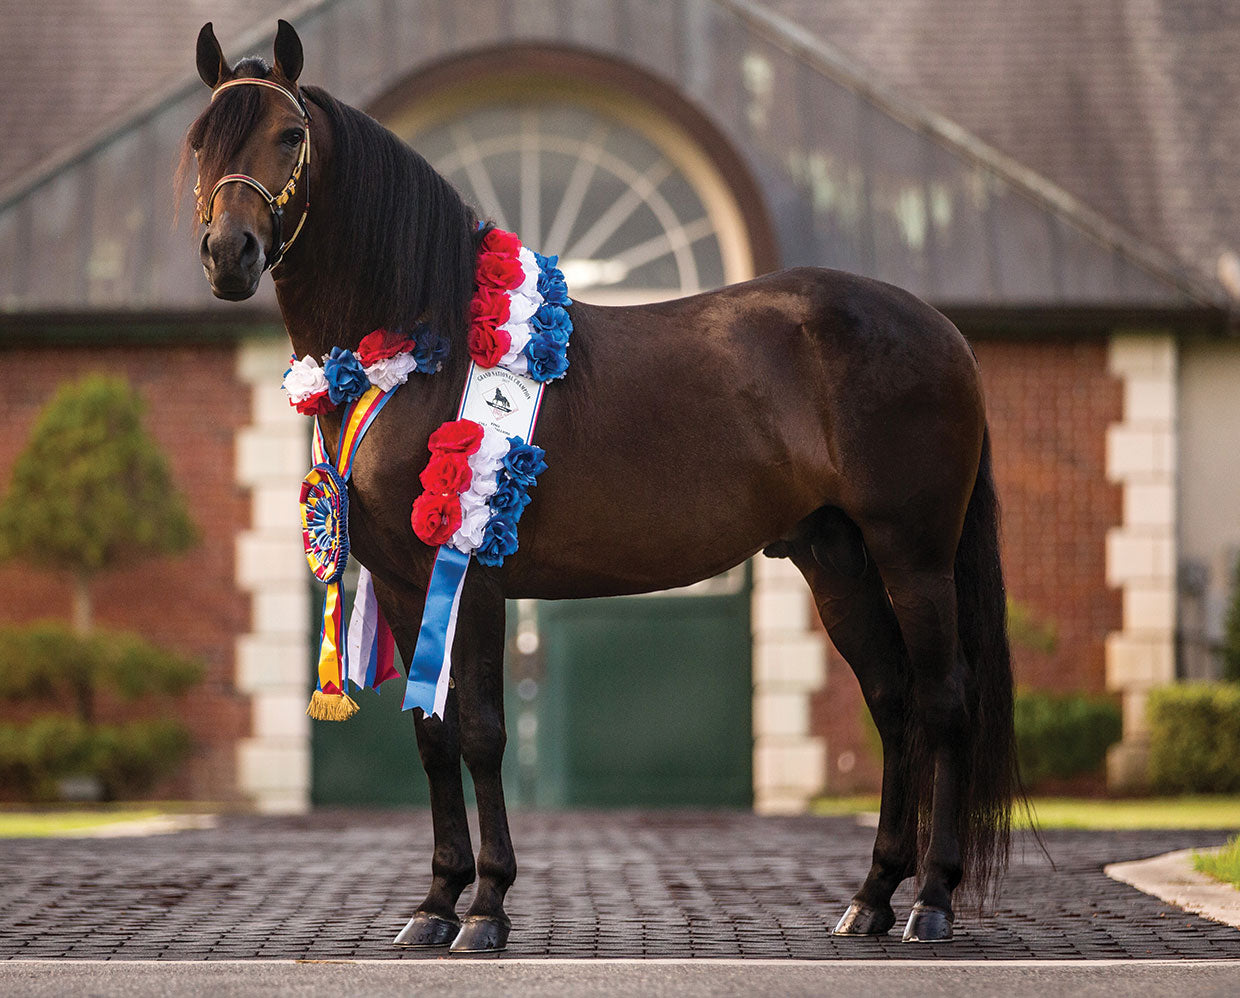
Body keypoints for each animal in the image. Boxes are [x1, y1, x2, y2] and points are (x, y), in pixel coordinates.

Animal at [184, 20, 1019, 952]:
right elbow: (432, 735)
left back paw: (931, 902)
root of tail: (942, 330)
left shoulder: (472, 577)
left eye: (289, 136)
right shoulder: (402, 580)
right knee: (894, 701)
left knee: (945, 702)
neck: (421, 347)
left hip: (915, 555)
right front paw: (435, 905)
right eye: (199, 140)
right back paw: (870, 898)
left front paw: (487, 907)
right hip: (836, 559)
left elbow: (482, 732)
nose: (230, 256)